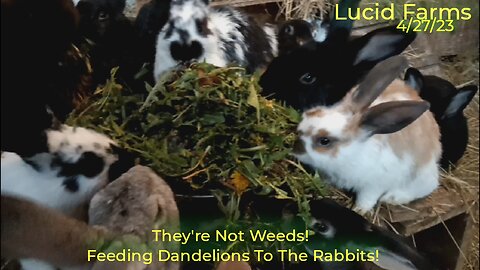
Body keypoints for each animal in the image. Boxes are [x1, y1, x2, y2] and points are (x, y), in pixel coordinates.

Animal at [290, 56, 440, 213]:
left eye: (324, 141)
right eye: (305, 116)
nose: (295, 150)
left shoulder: (374, 185)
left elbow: (367, 198)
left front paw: (358, 210)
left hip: (420, 177)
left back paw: (392, 198)